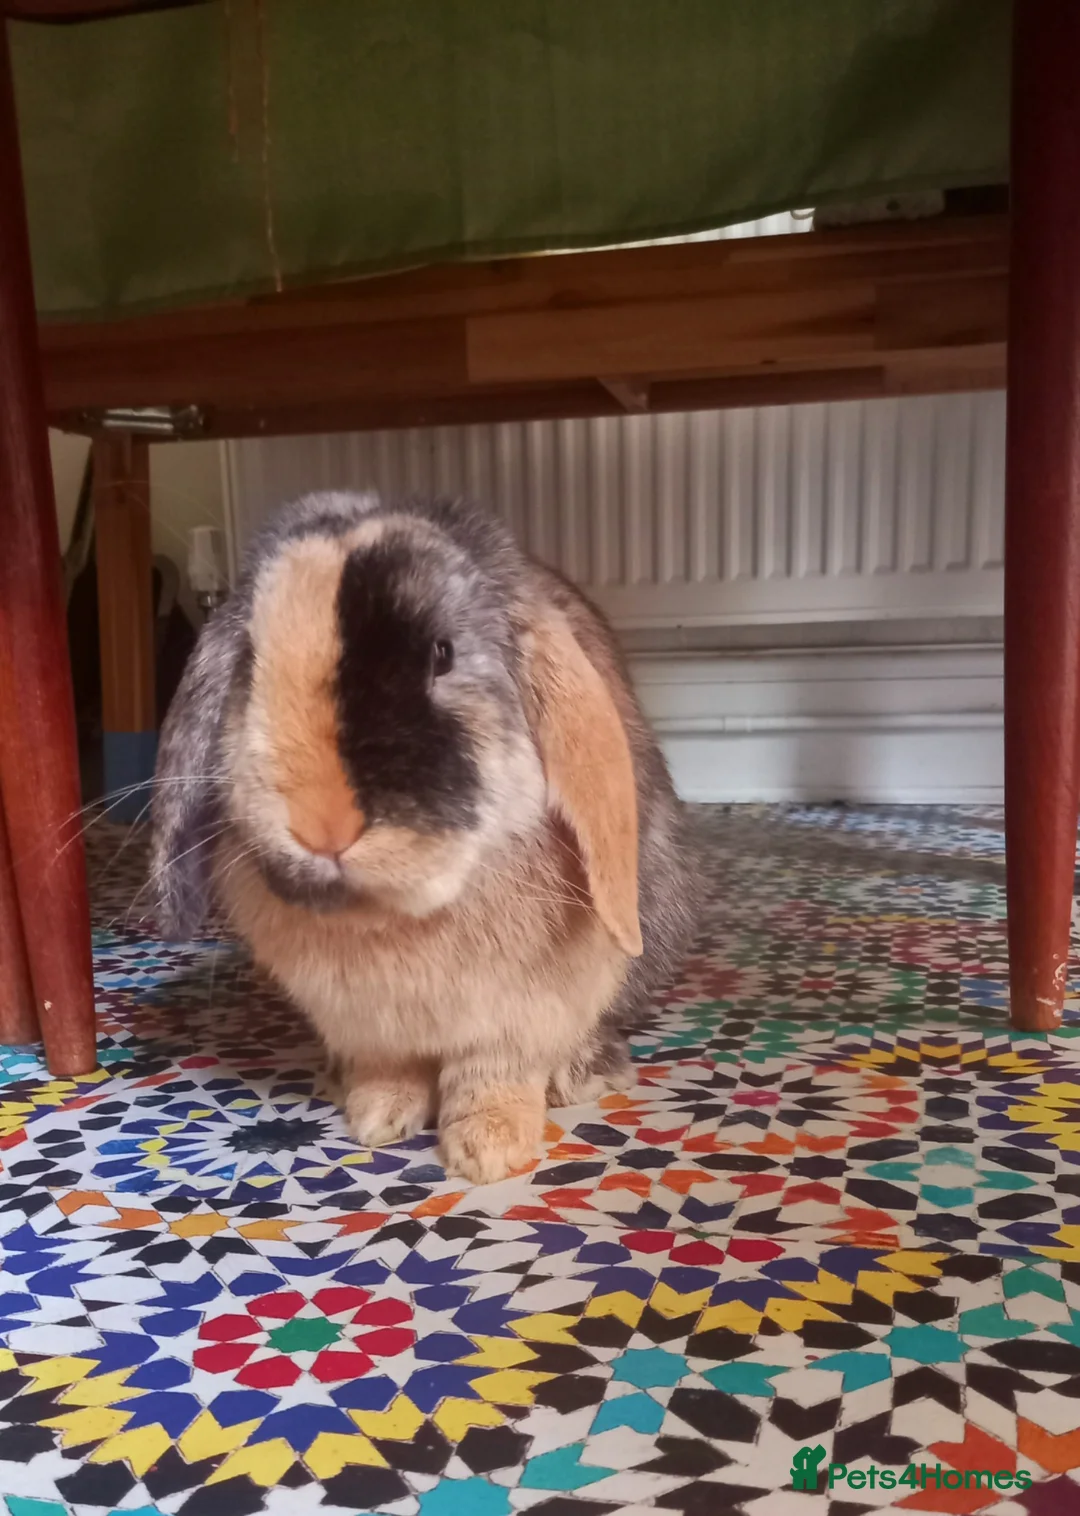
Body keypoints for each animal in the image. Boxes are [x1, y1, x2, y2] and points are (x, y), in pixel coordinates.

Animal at [150, 491, 699, 1184]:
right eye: (251, 662)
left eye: (443, 655)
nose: (322, 824)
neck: (393, 919)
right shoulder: (368, 1026)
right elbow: (390, 1069)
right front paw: (377, 1119)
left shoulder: (519, 1015)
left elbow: (493, 1073)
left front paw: (488, 1151)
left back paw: (582, 1073)